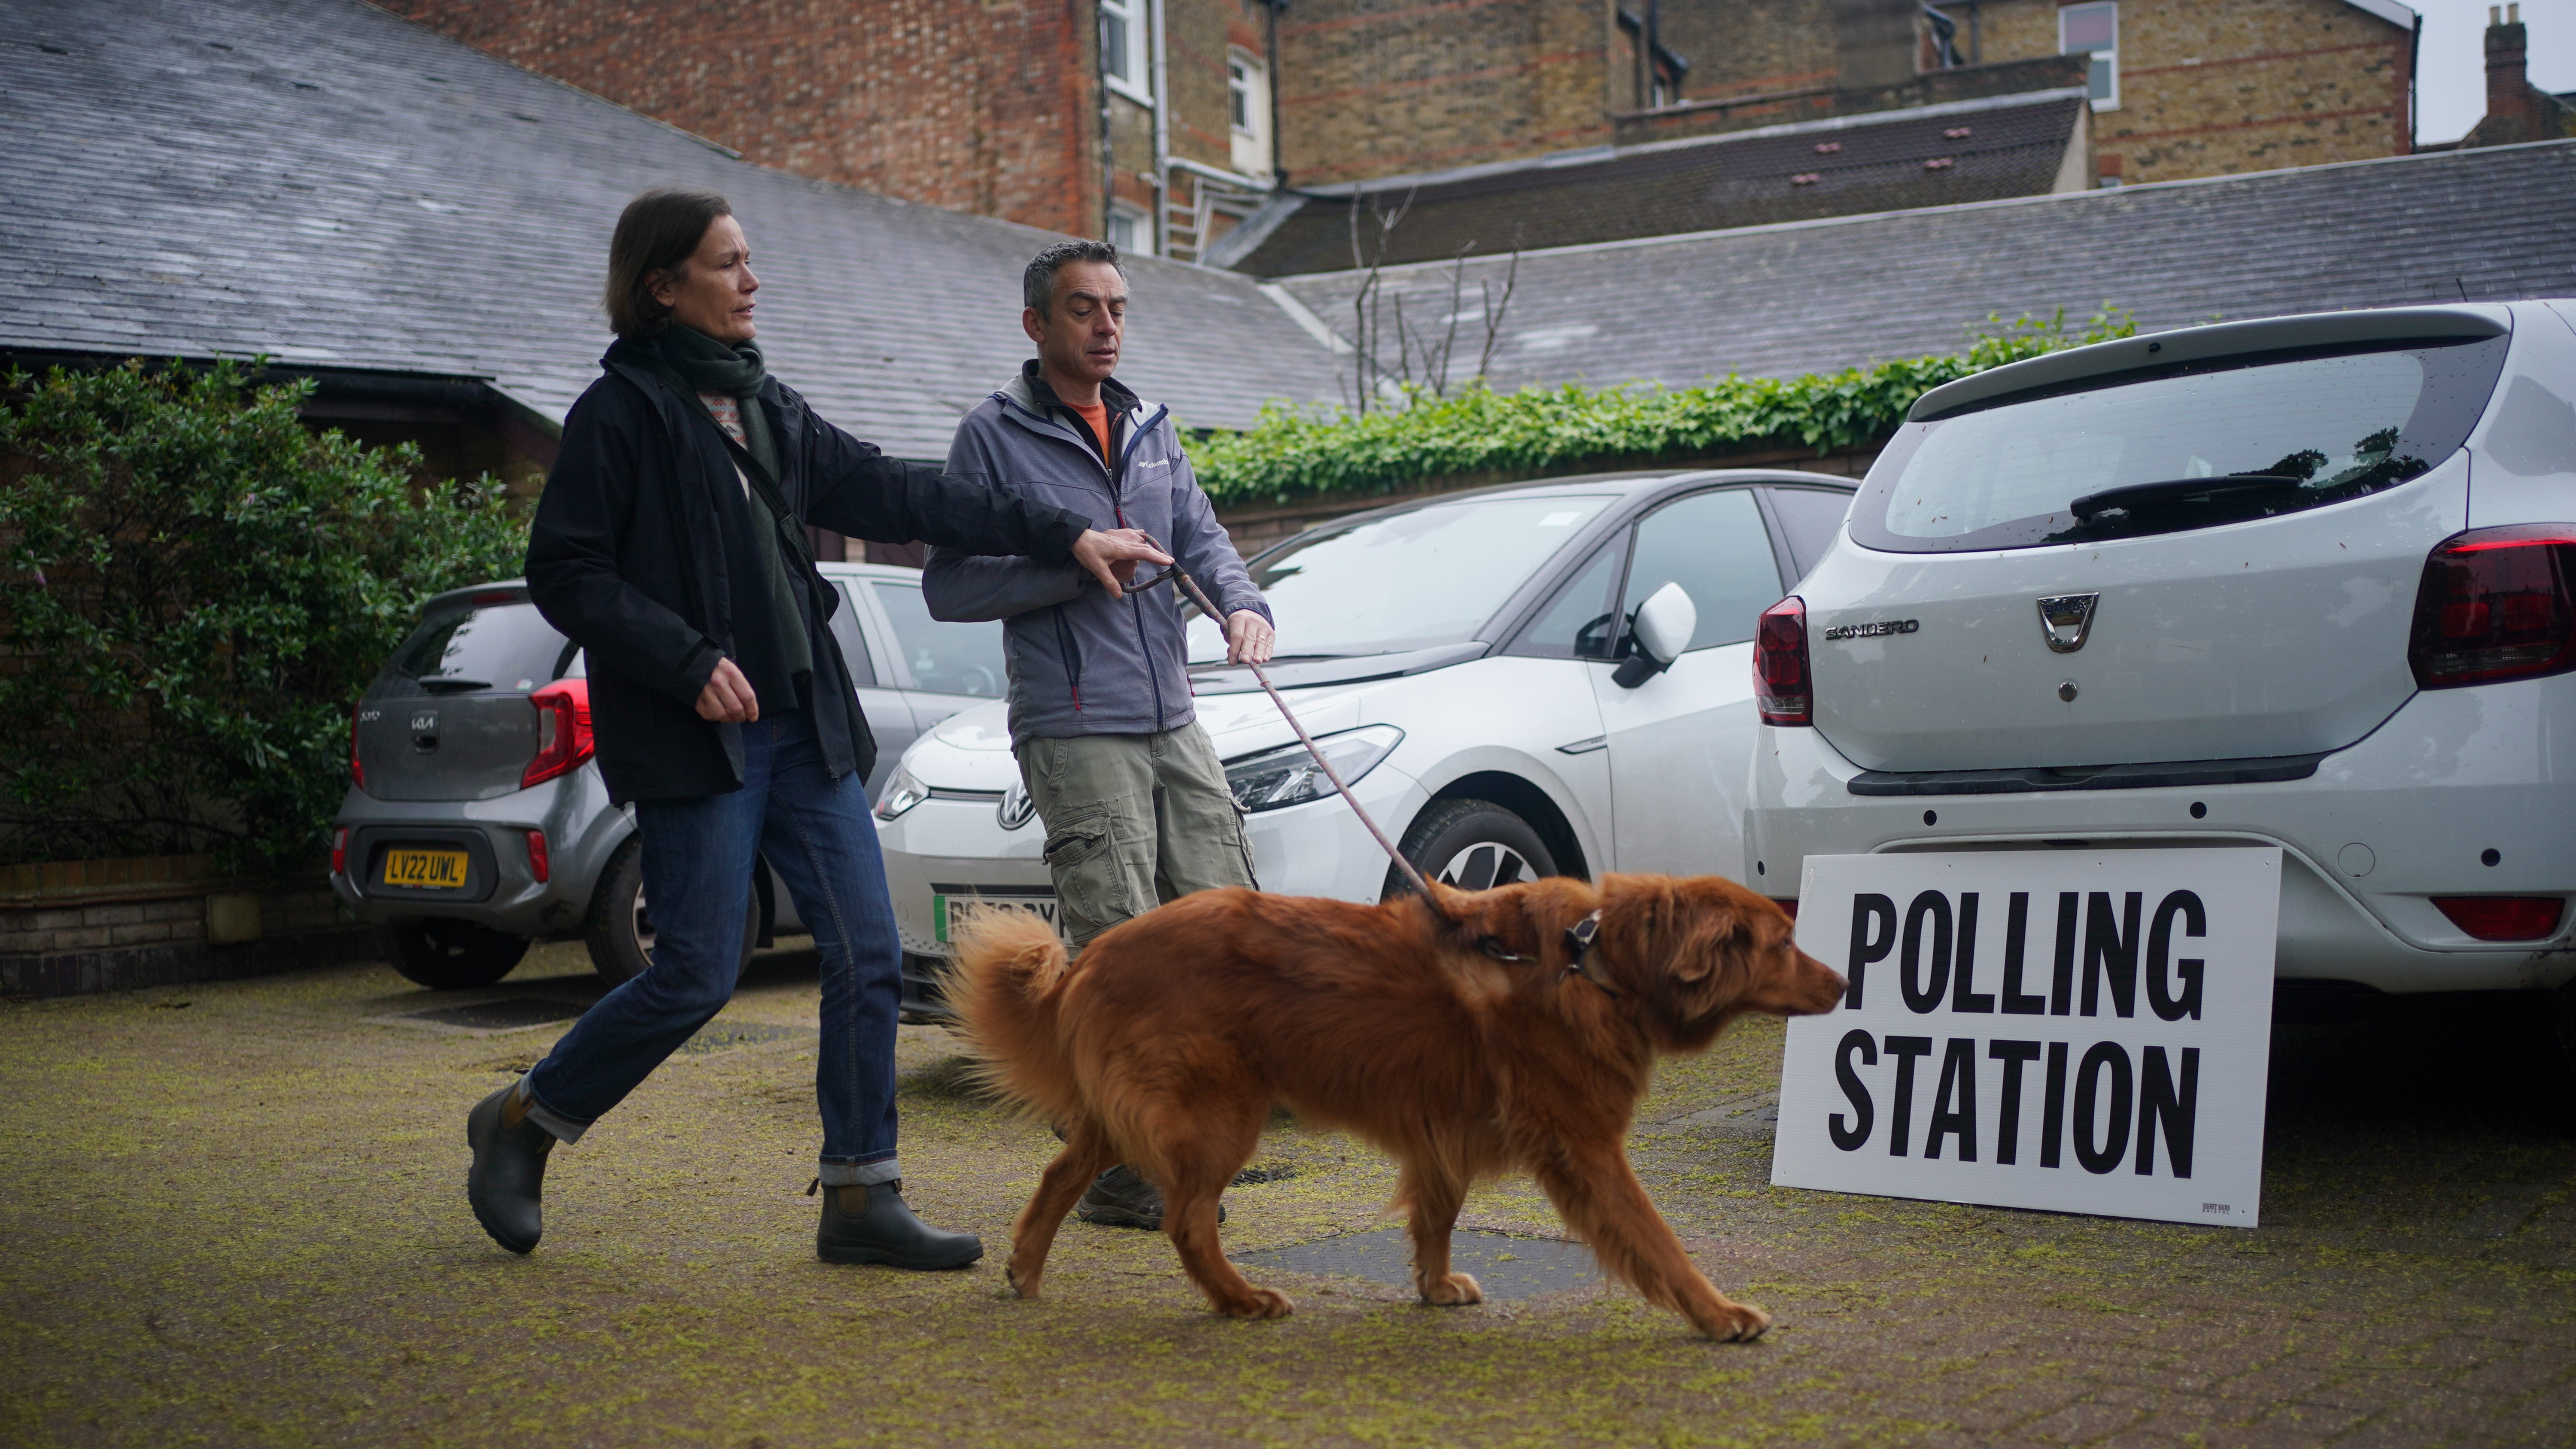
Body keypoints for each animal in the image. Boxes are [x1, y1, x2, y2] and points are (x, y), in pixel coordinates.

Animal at [948, 866, 1855, 1330]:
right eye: (1784, 943)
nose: (1847, 984)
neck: (1592, 958)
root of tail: (1095, 953)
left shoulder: (1445, 1125)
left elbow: (1438, 1217)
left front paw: (1434, 1287)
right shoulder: (1585, 1144)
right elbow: (1657, 1240)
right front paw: (1717, 1313)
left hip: (1131, 1113)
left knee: (1060, 1176)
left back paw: (1025, 1270)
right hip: (1219, 1116)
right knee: (1186, 1220)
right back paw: (1239, 1300)